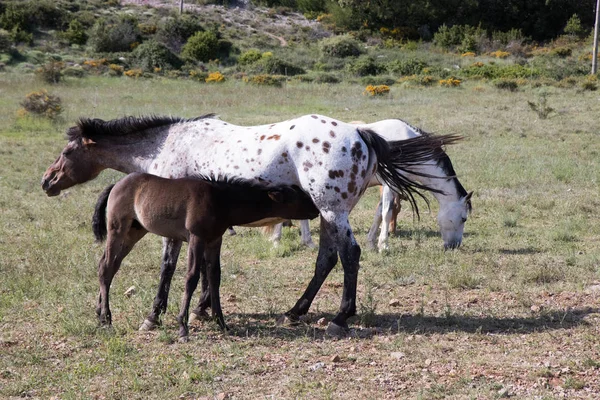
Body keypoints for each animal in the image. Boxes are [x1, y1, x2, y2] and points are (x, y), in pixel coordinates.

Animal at [42, 114, 460, 336]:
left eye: (67, 151)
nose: (47, 181)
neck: (166, 145)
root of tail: (360, 134)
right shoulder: (206, 230)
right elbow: (207, 271)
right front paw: (204, 310)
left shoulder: (177, 229)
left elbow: (169, 268)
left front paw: (155, 315)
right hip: (329, 214)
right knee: (327, 258)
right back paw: (295, 311)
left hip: (331, 211)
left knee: (349, 254)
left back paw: (340, 317)